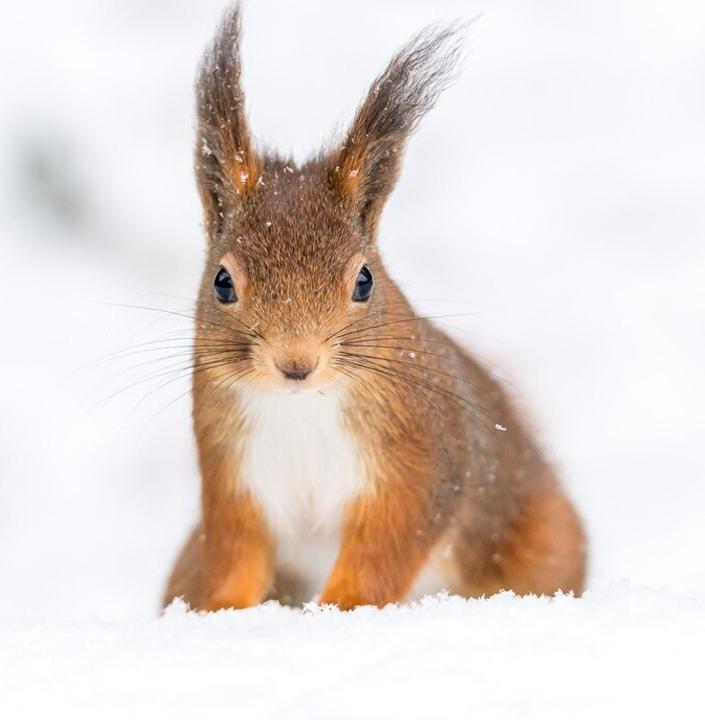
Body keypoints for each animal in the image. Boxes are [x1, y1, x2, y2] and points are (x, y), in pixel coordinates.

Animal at [162, 4, 584, 612]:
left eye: (364, 281)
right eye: (222, 283)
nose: (296, 364)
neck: (302, 407)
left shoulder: (416, 461)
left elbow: (385, 549)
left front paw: (339, 608)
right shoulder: (231, 476)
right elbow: (235, 555)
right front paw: (221, 613)